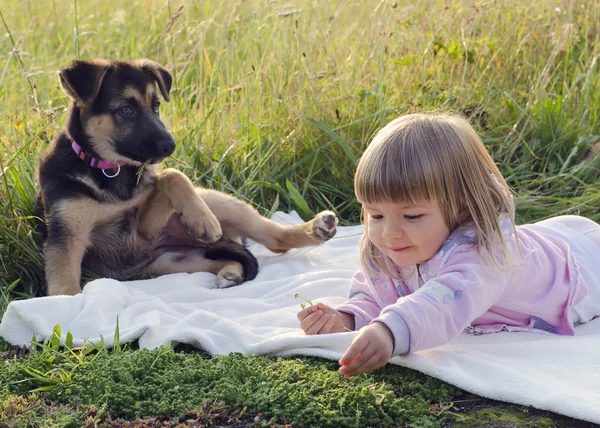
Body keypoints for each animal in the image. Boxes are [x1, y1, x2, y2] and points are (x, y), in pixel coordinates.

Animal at [36, 58, 338, 296]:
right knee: (232, 258)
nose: (170, 146)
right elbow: (65, 289)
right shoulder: (67, 237)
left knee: (274, 239)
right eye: (126, 109)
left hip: (217, 206)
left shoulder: (142, 230)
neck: (109, 169)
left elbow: (171, 175)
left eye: (156, 106)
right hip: (174, 260)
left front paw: (202, 220)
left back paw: (314, 228)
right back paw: (230, 274)